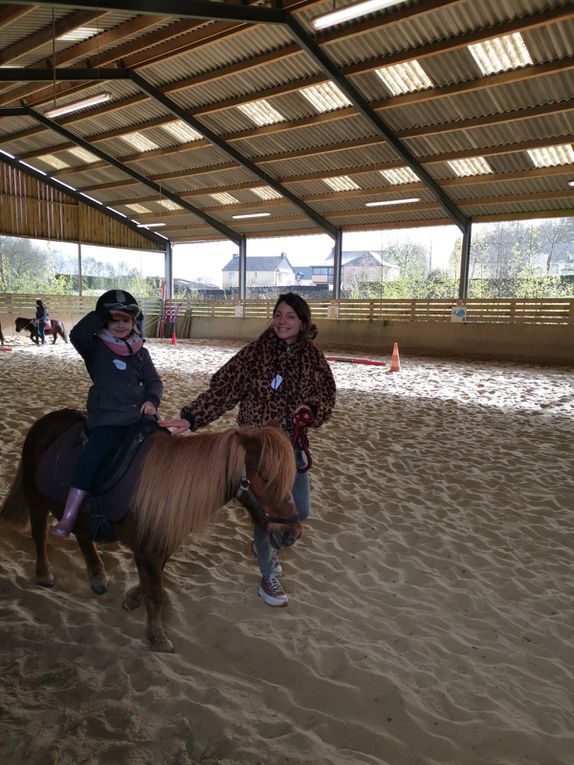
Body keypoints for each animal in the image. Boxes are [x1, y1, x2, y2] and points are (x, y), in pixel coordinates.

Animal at [1, 408, 302, 652]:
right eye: (266, 477)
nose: (292, 533)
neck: (170, 485)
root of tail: (43, 422)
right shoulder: (147, 551)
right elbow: (156, 593)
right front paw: (157, 636)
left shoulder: (159, 547)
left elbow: (155, 585)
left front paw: (133, 598)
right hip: (36, 498)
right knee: (40, 533)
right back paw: (44, 573)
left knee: (83, 537)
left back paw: (97, 575)